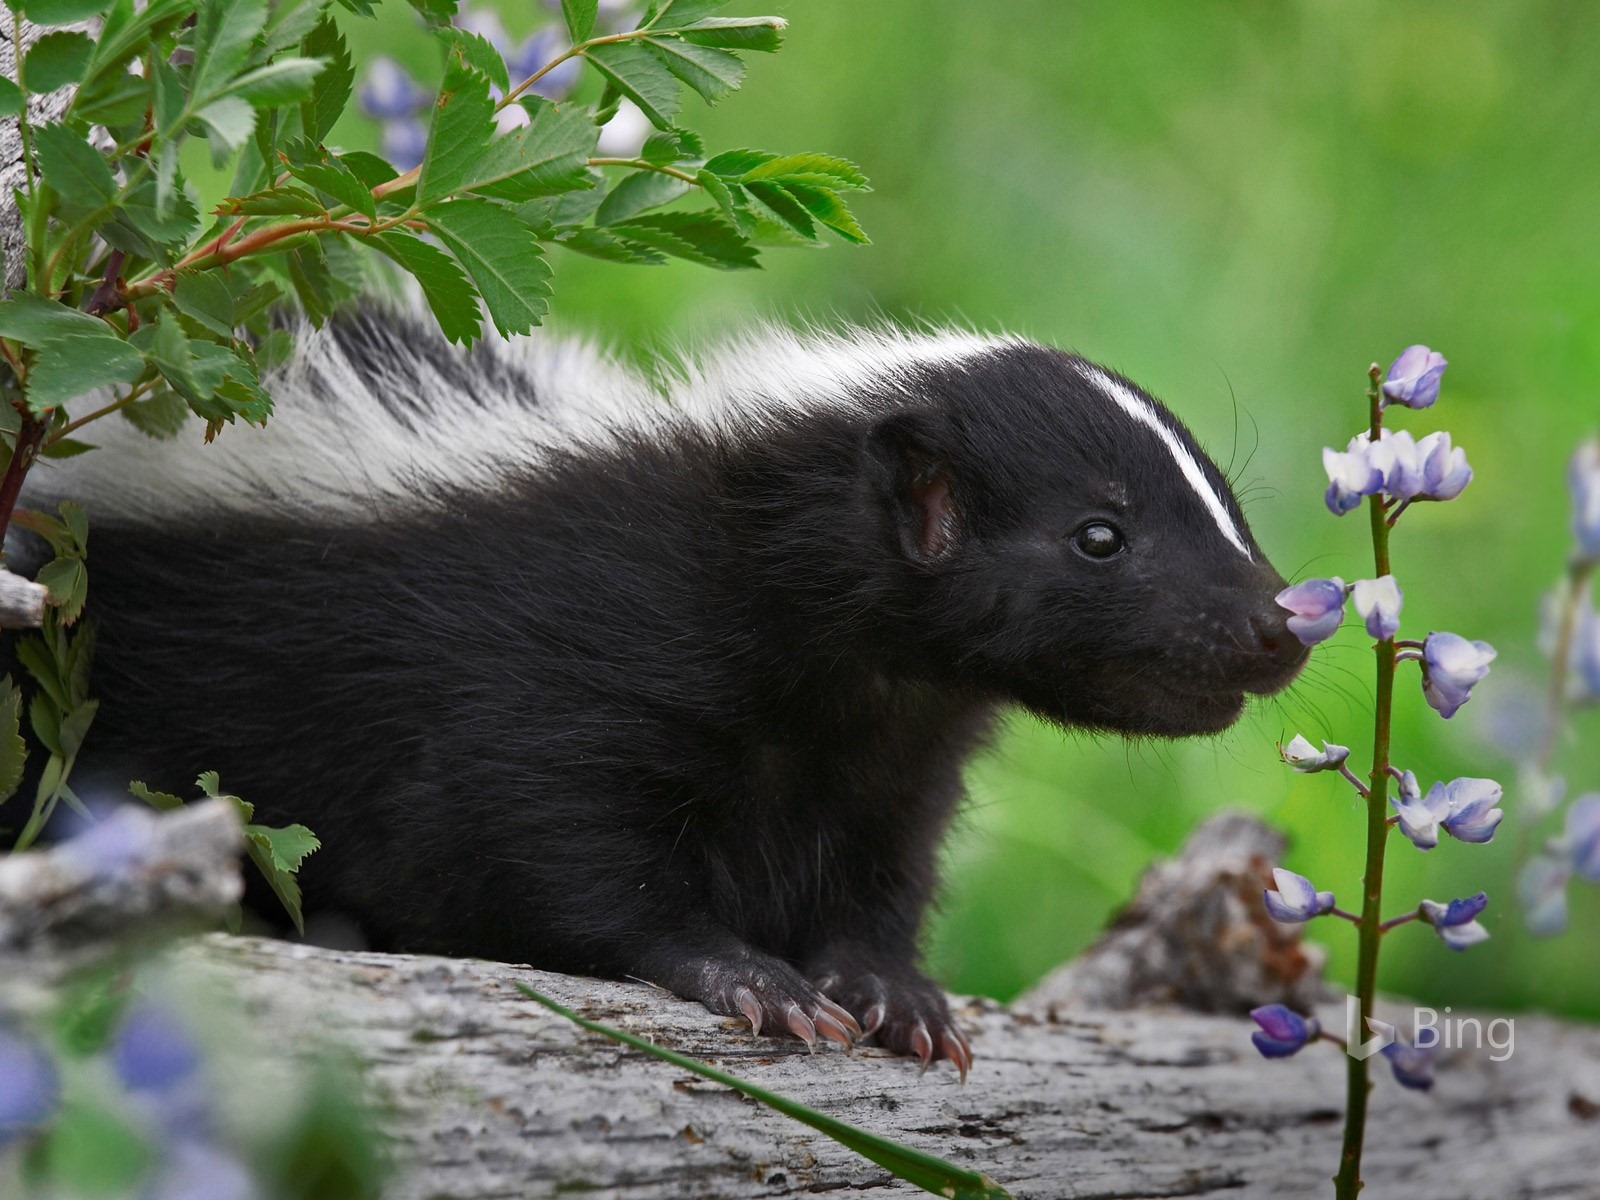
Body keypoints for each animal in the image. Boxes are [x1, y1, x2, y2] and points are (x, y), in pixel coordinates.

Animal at [31, 305, 1305, 1075]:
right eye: (1099, 537)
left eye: (1224, 505)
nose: (1280, 624)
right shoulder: (561, 662)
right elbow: (553, 843)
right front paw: (748, 977)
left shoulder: (891, 753)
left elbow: (881, 875)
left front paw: (895, 993)